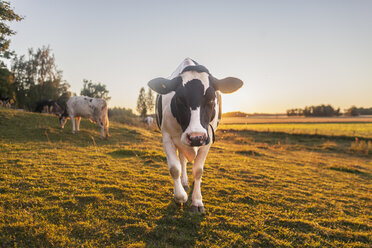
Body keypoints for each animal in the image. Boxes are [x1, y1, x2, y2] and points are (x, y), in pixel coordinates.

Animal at [148, 57, 244, 212]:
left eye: (211, 99)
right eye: (179, 98)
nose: (196, 137)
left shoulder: (207, 139)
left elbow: (198, 170)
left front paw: (197, 201)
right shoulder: (167, 136)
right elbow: (174, 168)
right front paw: (180, 196)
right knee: (182, 161)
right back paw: (184, 183)